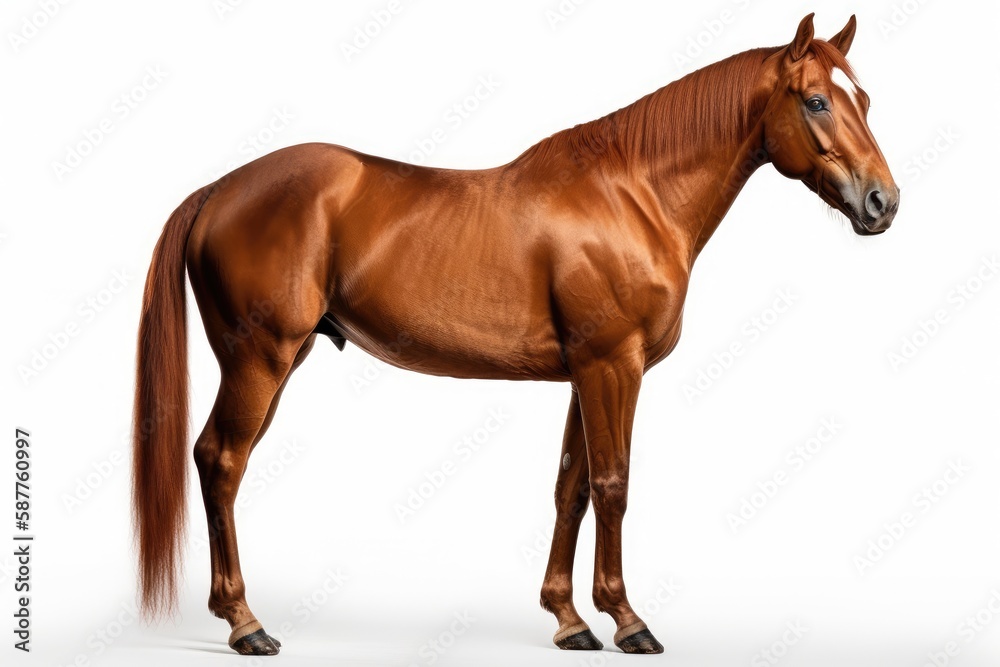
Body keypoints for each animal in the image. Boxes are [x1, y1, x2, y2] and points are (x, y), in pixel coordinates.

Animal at [132, 13, 898, 656]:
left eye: (862, 99)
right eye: (817, 101)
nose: (882, 202)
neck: (632, 195)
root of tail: (218, 190)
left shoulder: (586, 373)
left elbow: (572, 487)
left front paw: (568, 619)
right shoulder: (613, 366)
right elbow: (613, 483)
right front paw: (628, 620)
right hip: (260, 360)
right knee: (222, 461)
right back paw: (246, 623)